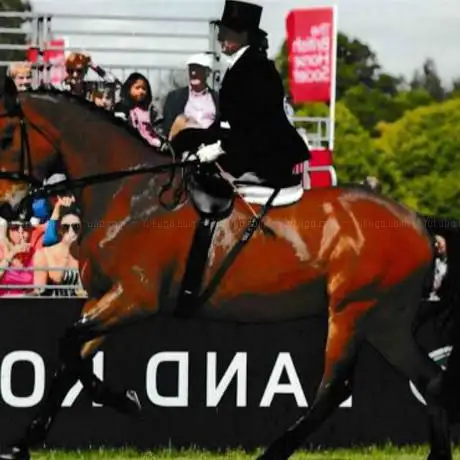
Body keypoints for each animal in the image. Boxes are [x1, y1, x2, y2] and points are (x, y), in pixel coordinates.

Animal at [0, 79, 452, 460]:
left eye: (6, 137)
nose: (8, 206)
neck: (127, 193)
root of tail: (416, 221)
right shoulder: (101, 298)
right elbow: (68, 360)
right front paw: (22, 444)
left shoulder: (134, 299)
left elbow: (67, 346)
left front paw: (126, 401)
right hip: (385, 320)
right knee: (430, 379)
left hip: (352, 310)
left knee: (335, 387)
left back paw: (271, 454)